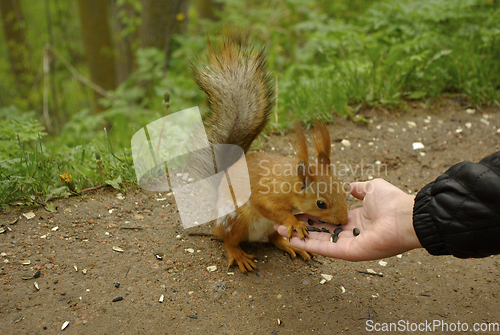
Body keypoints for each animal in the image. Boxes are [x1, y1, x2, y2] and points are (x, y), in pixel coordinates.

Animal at [191, 30, 348, 272]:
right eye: (321, 203)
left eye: (342, 189)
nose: (344, 220)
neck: (290, 184)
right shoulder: (265, 193)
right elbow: (267, 206)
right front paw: (293, 221)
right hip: (237, 219)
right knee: (228, 240)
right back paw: (238, 255)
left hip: (269, 227)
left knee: (274, 238)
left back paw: (291, 245)